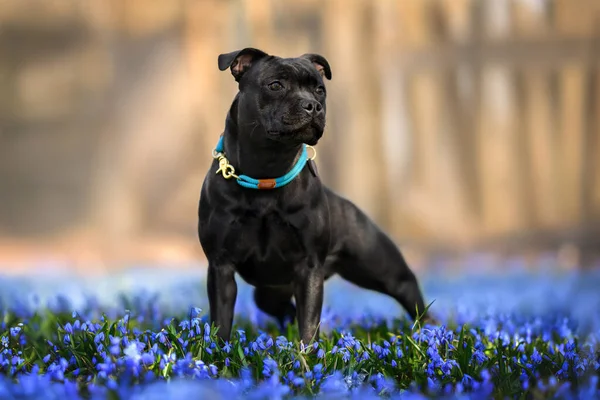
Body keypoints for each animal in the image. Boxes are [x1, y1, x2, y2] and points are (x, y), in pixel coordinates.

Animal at [199, 47, 434, 344]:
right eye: (275, 85)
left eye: (320, 90)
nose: (313, 105)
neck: (267, 170)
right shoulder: (221, 267)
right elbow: (221, 321)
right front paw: (219, 351)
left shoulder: (309, 268)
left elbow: (309, 324)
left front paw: (307, 354)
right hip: (270, 292)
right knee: (284, 310)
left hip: (387, 271)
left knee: (413, 299)